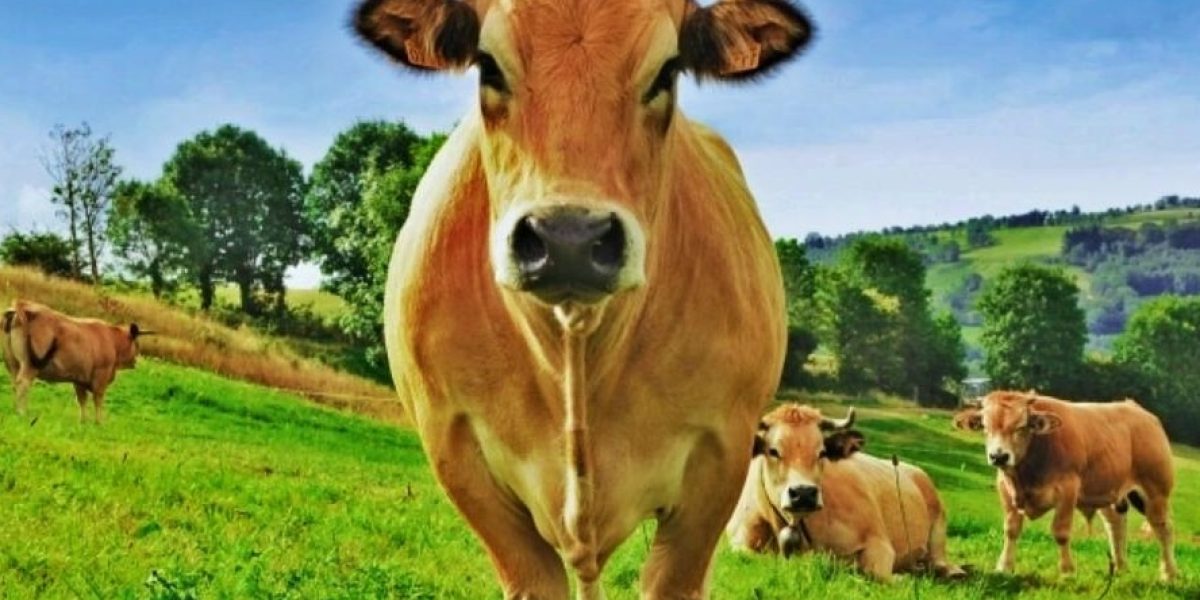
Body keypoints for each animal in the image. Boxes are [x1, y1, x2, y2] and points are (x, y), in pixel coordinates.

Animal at [2, 300, 143, 423]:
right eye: (136, 344)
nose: (136, 360)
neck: (111, 339)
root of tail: (24, 305)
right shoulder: (101, 377)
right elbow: (98, 400)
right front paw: (98, 422)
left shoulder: (79, 379)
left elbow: (82, 400)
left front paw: (83, 421)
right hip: (29, 365)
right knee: (23, 384)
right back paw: (22, 413)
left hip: (13, 363)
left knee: (14, 384)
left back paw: (14, 410)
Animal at [726, 404, 964, 581]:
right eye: (773, 451)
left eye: (822, 452)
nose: (804, 493)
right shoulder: (739, 542)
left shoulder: (878, 541)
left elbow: (874, 571)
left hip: (939, 521)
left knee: (938, 557)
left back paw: (951, 571)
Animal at [953, 390, 1178, 581]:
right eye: (985, 427)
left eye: (1021, 427)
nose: (999, 456)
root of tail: (1137, 409)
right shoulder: (1005, 489)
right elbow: (1011, 530)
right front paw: (1004, 567)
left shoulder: (1068, 490)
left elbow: (1060, 532)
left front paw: (1067, 571)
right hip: (1109, 493)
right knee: (1116, 526)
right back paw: (1121, 568)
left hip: (1155, 491)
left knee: (1163, 529)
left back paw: (1169, 574)